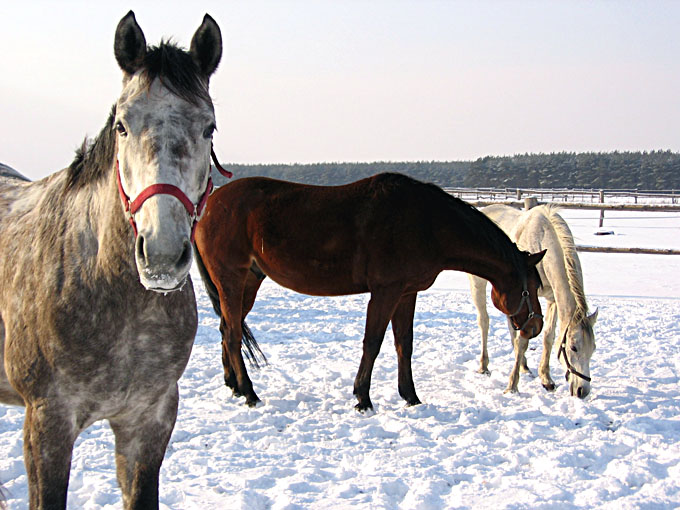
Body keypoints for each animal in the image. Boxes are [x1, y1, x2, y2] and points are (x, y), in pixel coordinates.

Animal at [194, 173, 544, 412]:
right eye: (533, 286)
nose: (537, 325)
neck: (427, 222)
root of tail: (207, 207)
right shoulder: (385, 291)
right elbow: (373, 343)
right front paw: (363, 397)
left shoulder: (406, 293)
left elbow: (404, 344)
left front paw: (411, 396)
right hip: (232, 279)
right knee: (233, 334)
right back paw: (250, 393)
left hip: (249, 281)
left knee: (227, 329)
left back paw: (234, 386)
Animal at [470, 203, 596, 398]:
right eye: (574, 347)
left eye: (593, 348)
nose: (582, 391)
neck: (542, 240)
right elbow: (523, 341)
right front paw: (512, 386)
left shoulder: (552, 300)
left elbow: (548, 337)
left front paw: (546, 379)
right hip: (478, 283)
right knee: (484, 321)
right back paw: (484, 366)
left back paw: (523, 365)